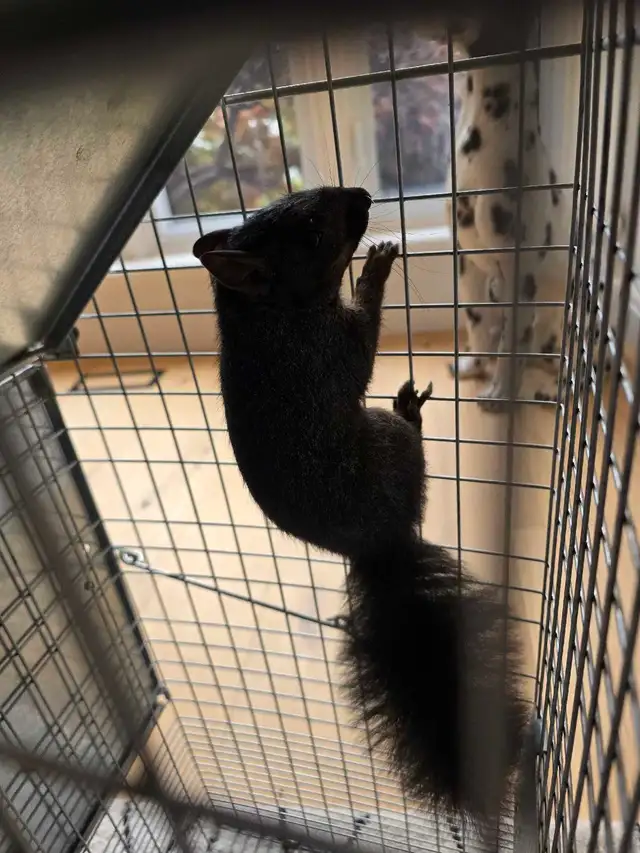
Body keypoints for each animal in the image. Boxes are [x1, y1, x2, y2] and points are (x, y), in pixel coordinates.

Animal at [193, 186, 530, 828]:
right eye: (310, 228)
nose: (363, 196)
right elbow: (363, 347)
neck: (270, 316)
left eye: (294, 200)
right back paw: (411, 415)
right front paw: (375, 268)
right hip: (385, 442)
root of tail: (382, 544)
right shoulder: (324, 352)